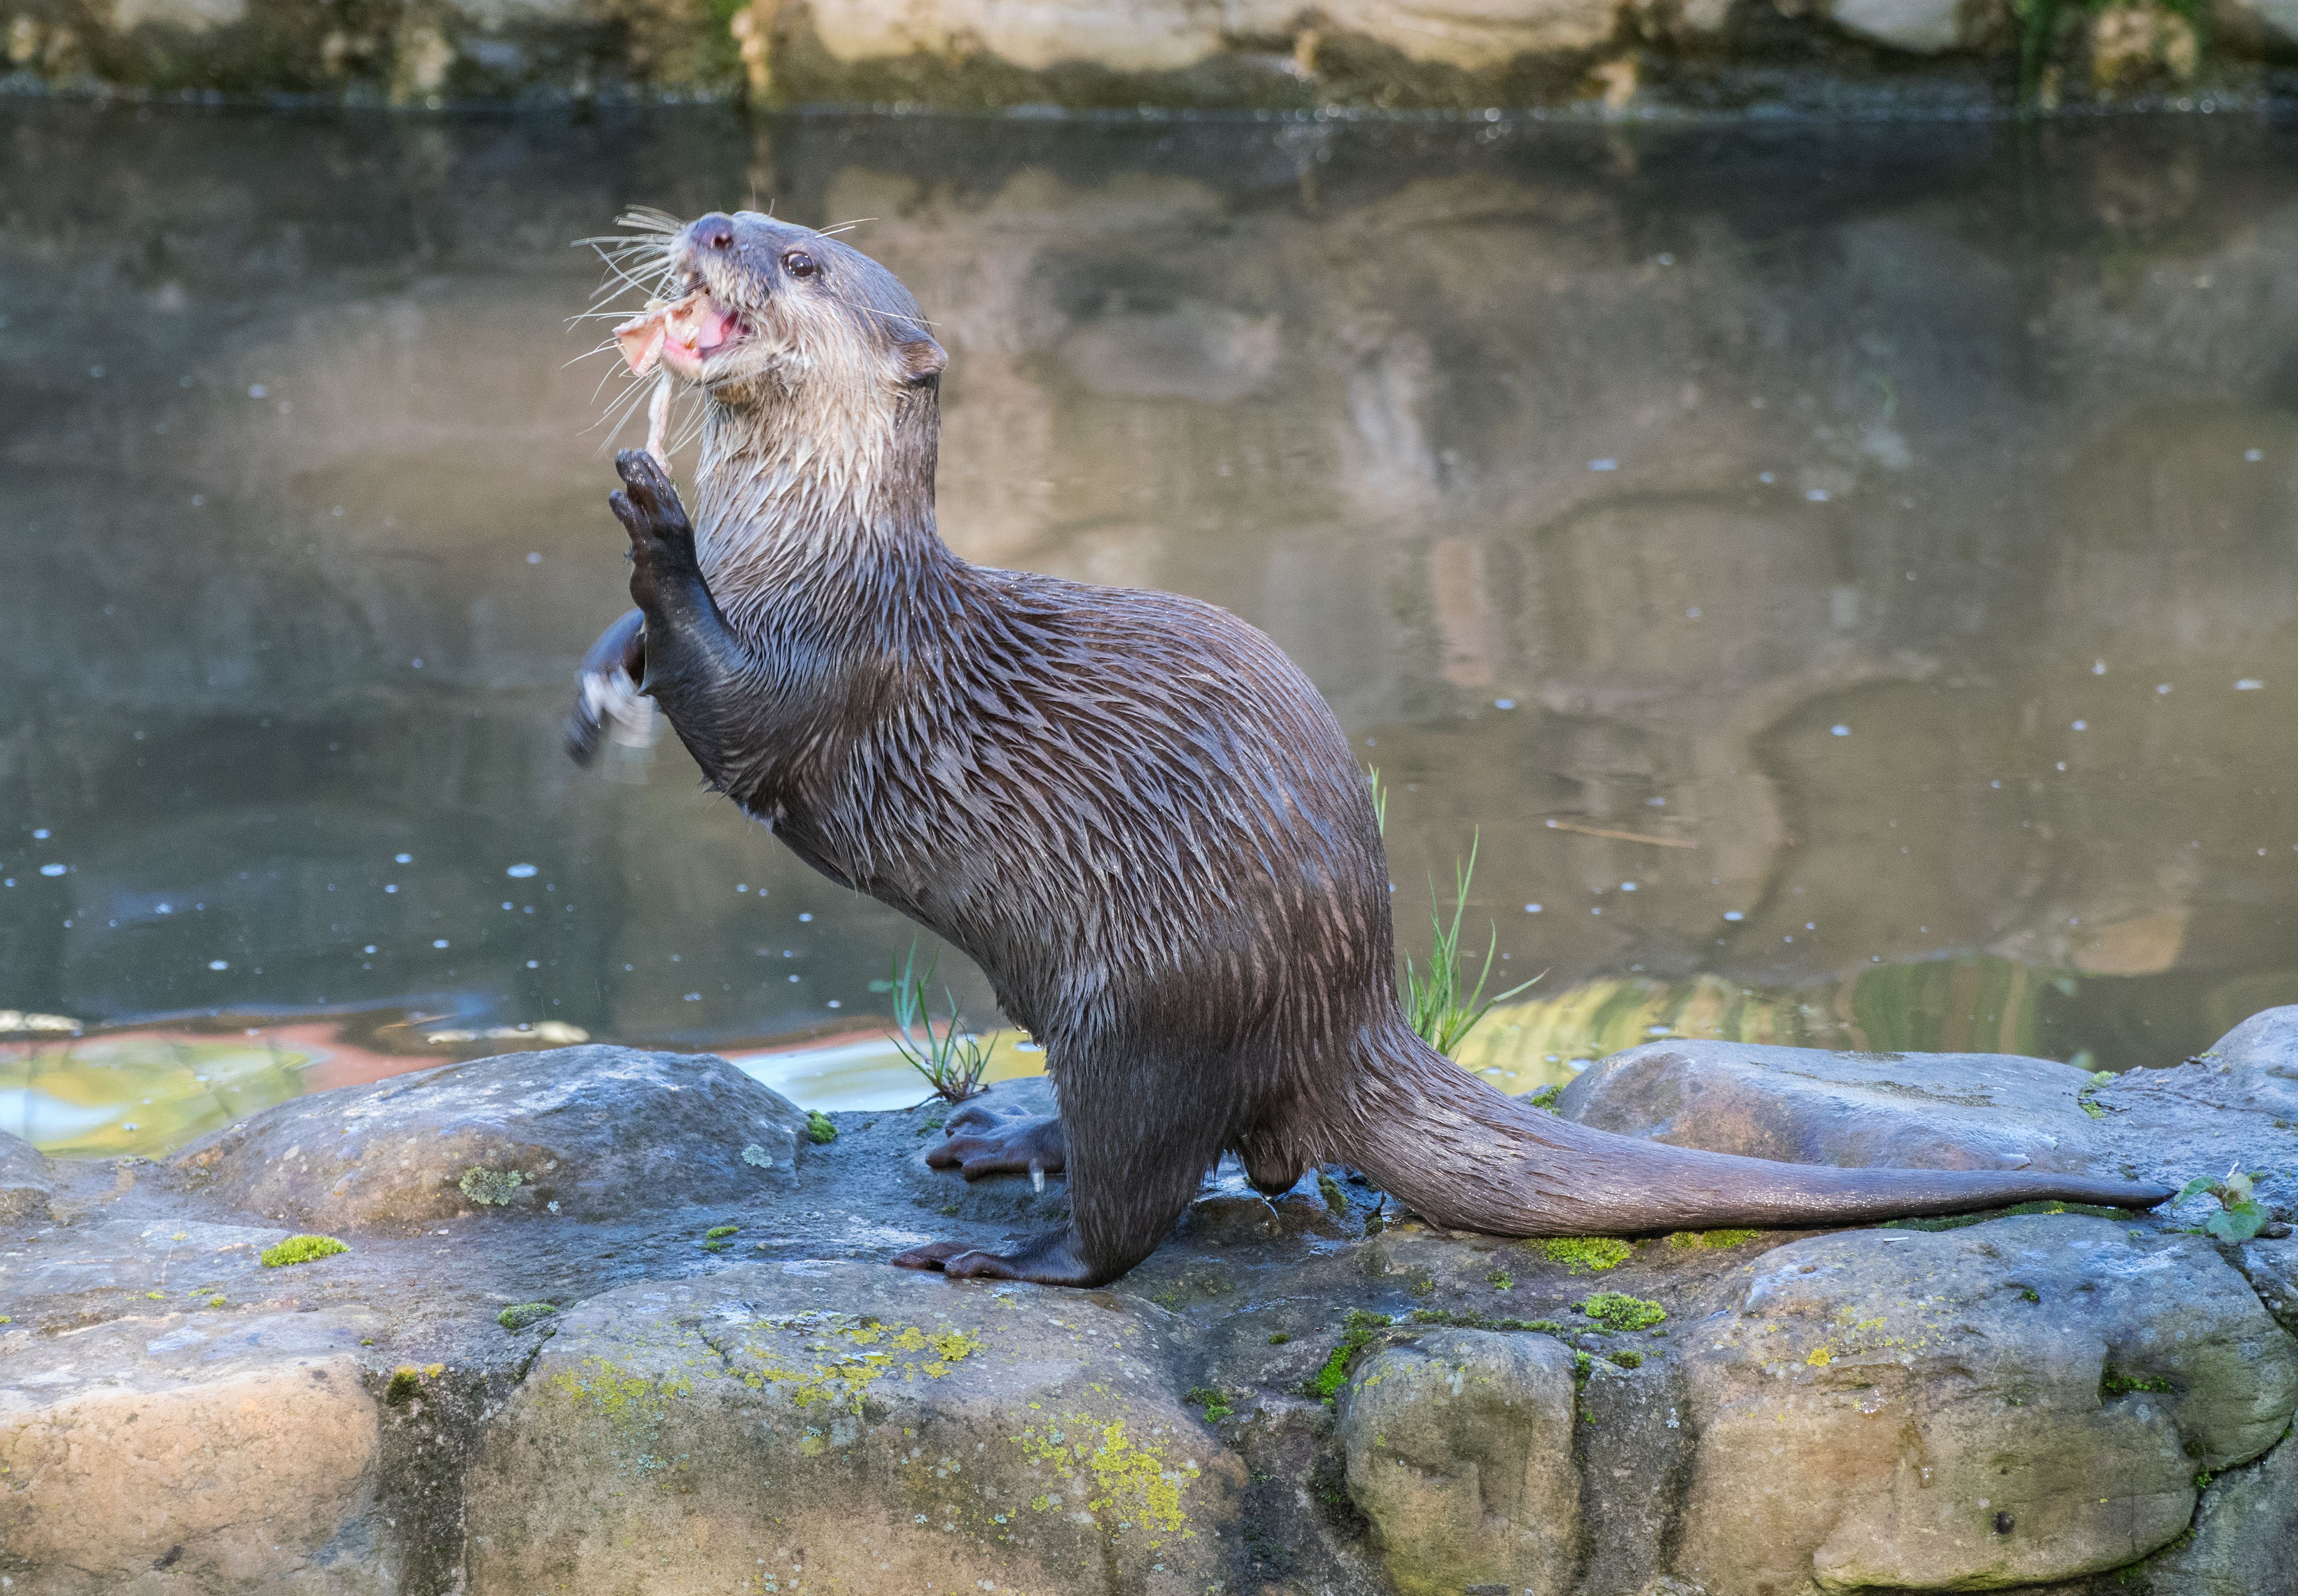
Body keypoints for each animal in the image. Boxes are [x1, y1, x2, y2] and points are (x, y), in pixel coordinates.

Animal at [565, 208, 2171, 1287]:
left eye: (803, 262)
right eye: (751, 221)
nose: (713, 227)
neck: (815, 558)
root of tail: (1350, 996)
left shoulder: (843, 670)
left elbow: (739, 717)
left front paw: (658, 529)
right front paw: (599, 676)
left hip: (1144, 996)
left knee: (1143, 1201)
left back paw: (1014, 1245)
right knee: (1232, 1152)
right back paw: (1004, 1135)